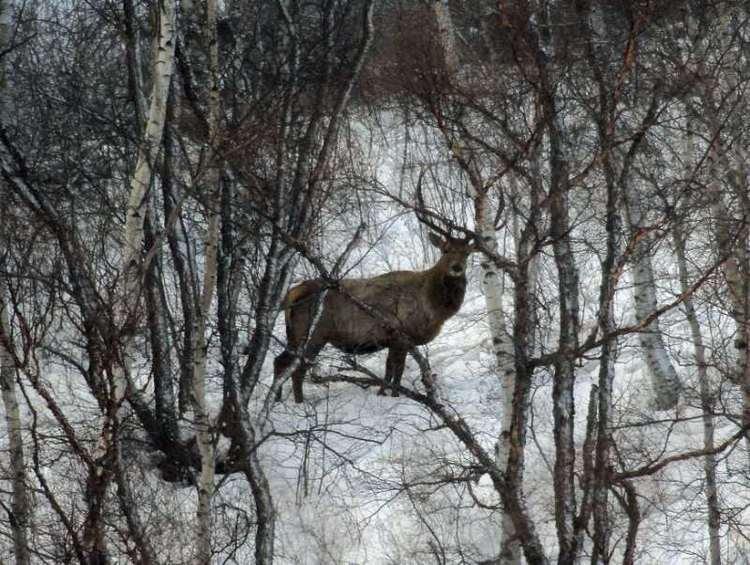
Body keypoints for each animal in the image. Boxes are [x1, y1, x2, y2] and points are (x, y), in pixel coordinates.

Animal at [274, 229, 476, 400]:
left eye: (467, 253)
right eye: (445, 250)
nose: (457, 267)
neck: (434, 309)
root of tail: (293, 292)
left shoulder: (392, 339)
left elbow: (389, 369)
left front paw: (382, 393)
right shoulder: (402, 336)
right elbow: (398, 370)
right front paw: (395, 395)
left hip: (294, 332)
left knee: (280, 361)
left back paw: (276, 399)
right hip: (314, 330)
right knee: (297, 369)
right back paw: (300, 403)